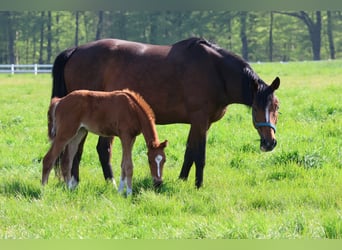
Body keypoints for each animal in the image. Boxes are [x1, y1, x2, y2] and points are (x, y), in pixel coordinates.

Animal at [51, 37, 280, 188]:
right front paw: (198, 185)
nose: (269, 143)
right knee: (84, 149)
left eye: (276, 107)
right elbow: (200, 155)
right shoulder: (200, 119)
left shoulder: (200, 123)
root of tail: (76, 50)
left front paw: (182, 180)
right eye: (256, 107)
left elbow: (190, 152)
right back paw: (90, 183)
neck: (216, 71)